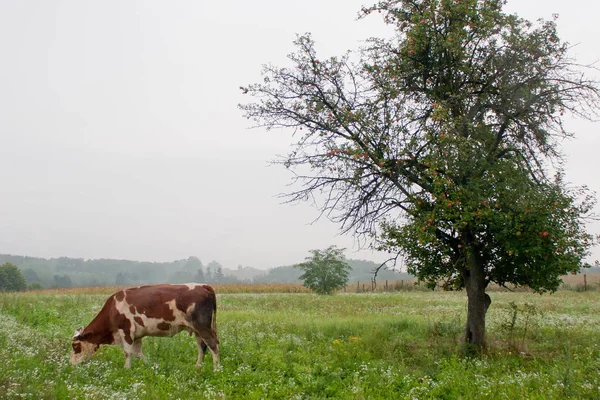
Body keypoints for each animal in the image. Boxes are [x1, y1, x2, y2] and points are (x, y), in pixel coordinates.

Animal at [70, 282, 220, 370]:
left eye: (75, 346)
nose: (71, 364)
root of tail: (203, 285)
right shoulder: (137, 335)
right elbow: (137, 352)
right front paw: (152, 365)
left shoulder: (126, 330)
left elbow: (127, 352)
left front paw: (126, 369)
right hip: (197, 329)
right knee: (202, 346)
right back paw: (198, 367)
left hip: (202, 326)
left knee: (212, 344)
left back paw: (217, 369)